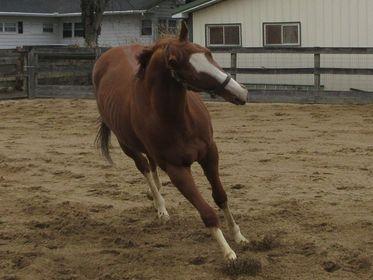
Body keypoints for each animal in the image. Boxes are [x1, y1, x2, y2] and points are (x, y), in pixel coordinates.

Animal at [93, 23, 248, 262]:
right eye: (176, 63)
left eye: (207, 53)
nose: (240, 92)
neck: (179, 119)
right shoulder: (176, 169)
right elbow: (207, 212)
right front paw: (228, 252)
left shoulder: (210, 153)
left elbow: (220, 197)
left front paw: (239, 236)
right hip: (127, 145)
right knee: (145, 167)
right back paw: (160, 207)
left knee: (151, 166)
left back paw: (156, 196)